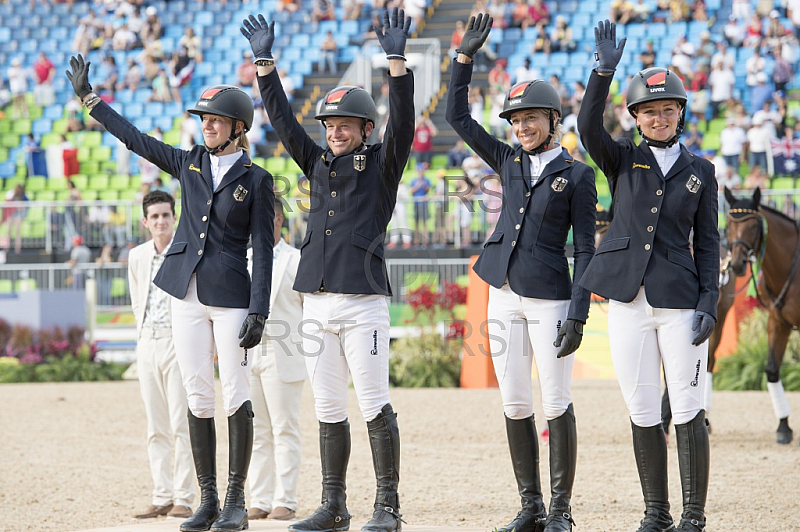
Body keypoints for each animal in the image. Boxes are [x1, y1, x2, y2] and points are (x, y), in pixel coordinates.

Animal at [724, 187, 800, 444]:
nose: (737, 264)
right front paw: (784, 427)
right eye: (728, 225)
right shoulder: (778, 322)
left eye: (754, 226)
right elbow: (771, 370)